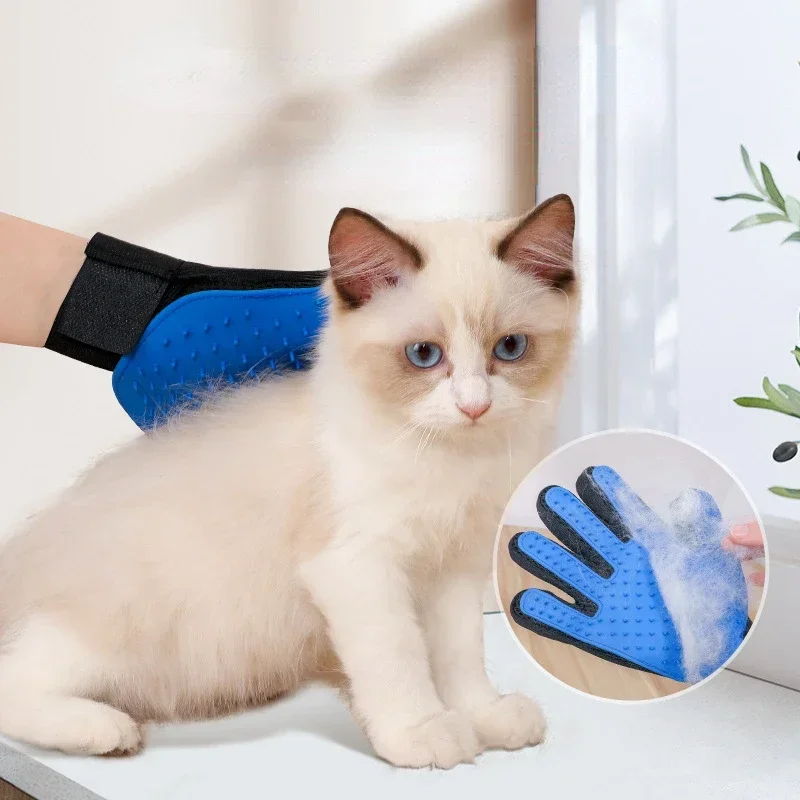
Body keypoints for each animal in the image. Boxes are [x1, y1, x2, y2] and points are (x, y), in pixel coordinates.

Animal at [0, 195, 576, 768]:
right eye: (424, 356)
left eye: (510, 348)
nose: (474, 407)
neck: (448, 460)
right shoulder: (358, 567)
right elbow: (398, 658)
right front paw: (423, 731)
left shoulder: (452, 570)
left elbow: (460, 657)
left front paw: (483, 716)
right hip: (116, 633)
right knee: (15, 683)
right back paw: (105, 728)